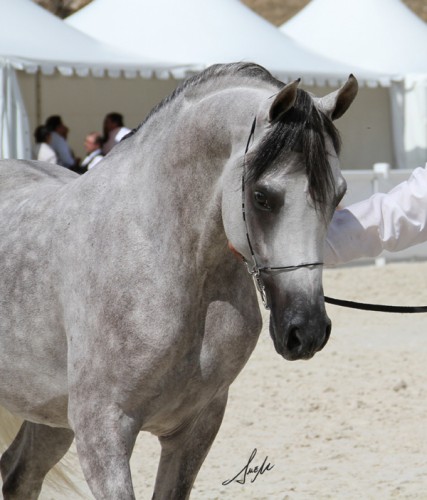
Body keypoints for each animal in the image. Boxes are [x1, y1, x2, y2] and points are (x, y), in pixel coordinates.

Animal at [0, 64, 358, 498]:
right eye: (261, 196)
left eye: (338, 194)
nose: (306, 331)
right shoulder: (102, 431)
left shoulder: (195, 428)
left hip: (47, 416)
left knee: (19, 475)